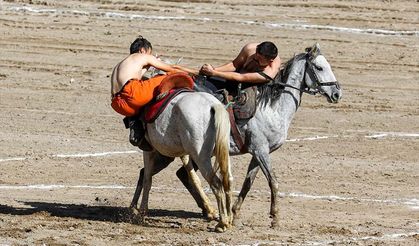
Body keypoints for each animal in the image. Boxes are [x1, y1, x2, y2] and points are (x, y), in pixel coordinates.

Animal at [130, 42, 342, 229]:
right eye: (319, 67)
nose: (337, 93)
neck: (271, 108)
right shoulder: (260, 150)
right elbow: (273, 181)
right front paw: (275, 218)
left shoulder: (258, 153)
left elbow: (249, 183)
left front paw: (235, 212)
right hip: (171, 151)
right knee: (149, 173)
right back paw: (136, 211)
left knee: (167, 173)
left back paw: (206, 212)